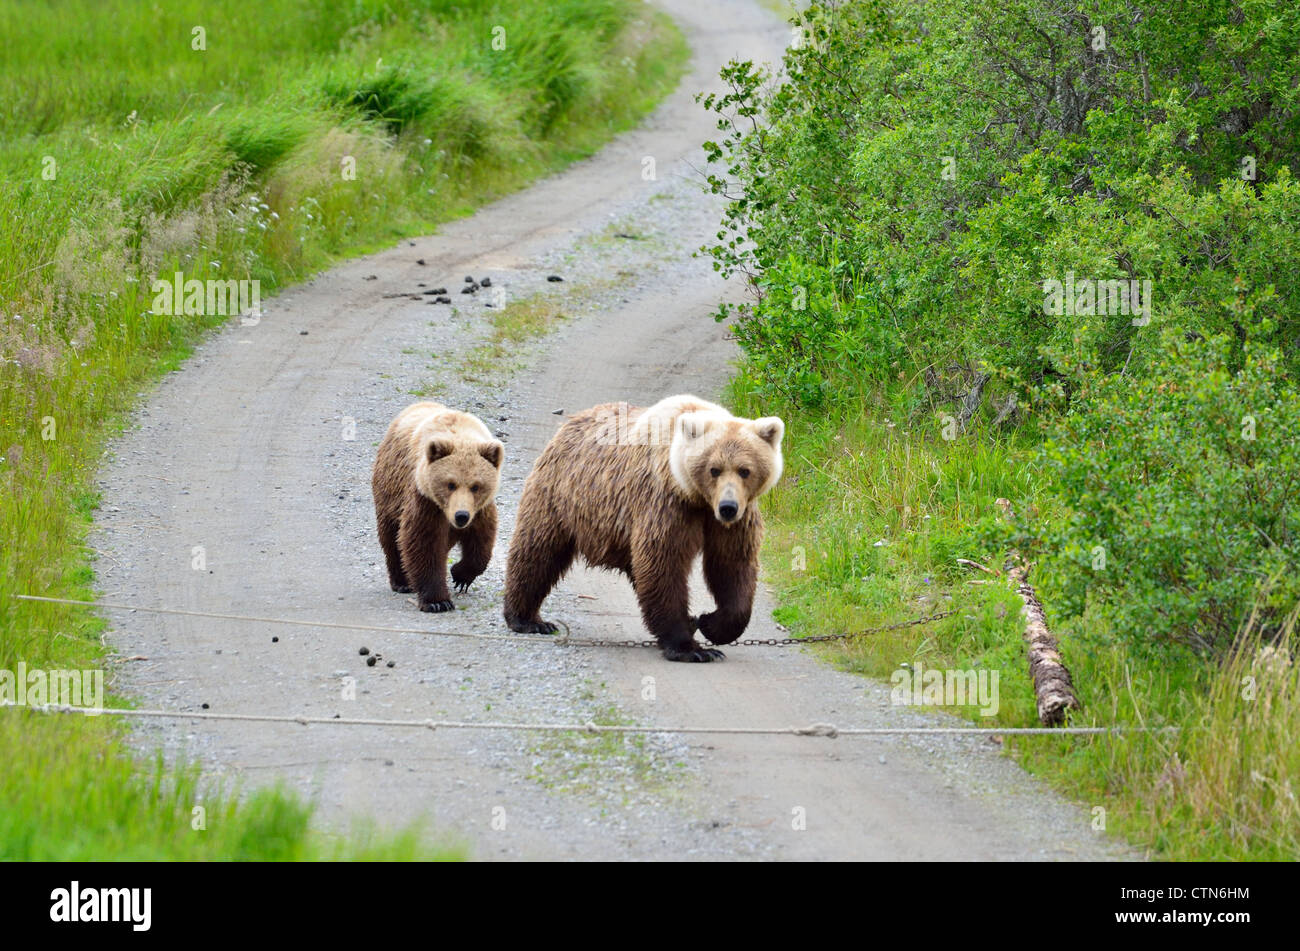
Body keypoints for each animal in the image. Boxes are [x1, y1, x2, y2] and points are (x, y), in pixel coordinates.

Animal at [371, 401, 504, 612]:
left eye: (476, 486)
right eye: (450, 484)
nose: (461, 516)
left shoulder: (480, 509)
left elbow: (481, 543)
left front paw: (460, 576)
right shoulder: (425, 500)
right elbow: (423, 543)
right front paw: (438, 601)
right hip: (390, 490)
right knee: (392, 535)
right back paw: (402, 581)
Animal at [502, 394, 785, 662]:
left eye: (745, 470)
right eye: (714, 469)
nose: (728, 507)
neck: (696, 497)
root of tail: (570, 422)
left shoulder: (731, 521)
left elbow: (732, 565)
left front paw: (709, 623)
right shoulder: (666, 505)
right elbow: (664, 564)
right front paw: (690, 647)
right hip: (561, 496)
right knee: (539, 550)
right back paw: (528, 619)